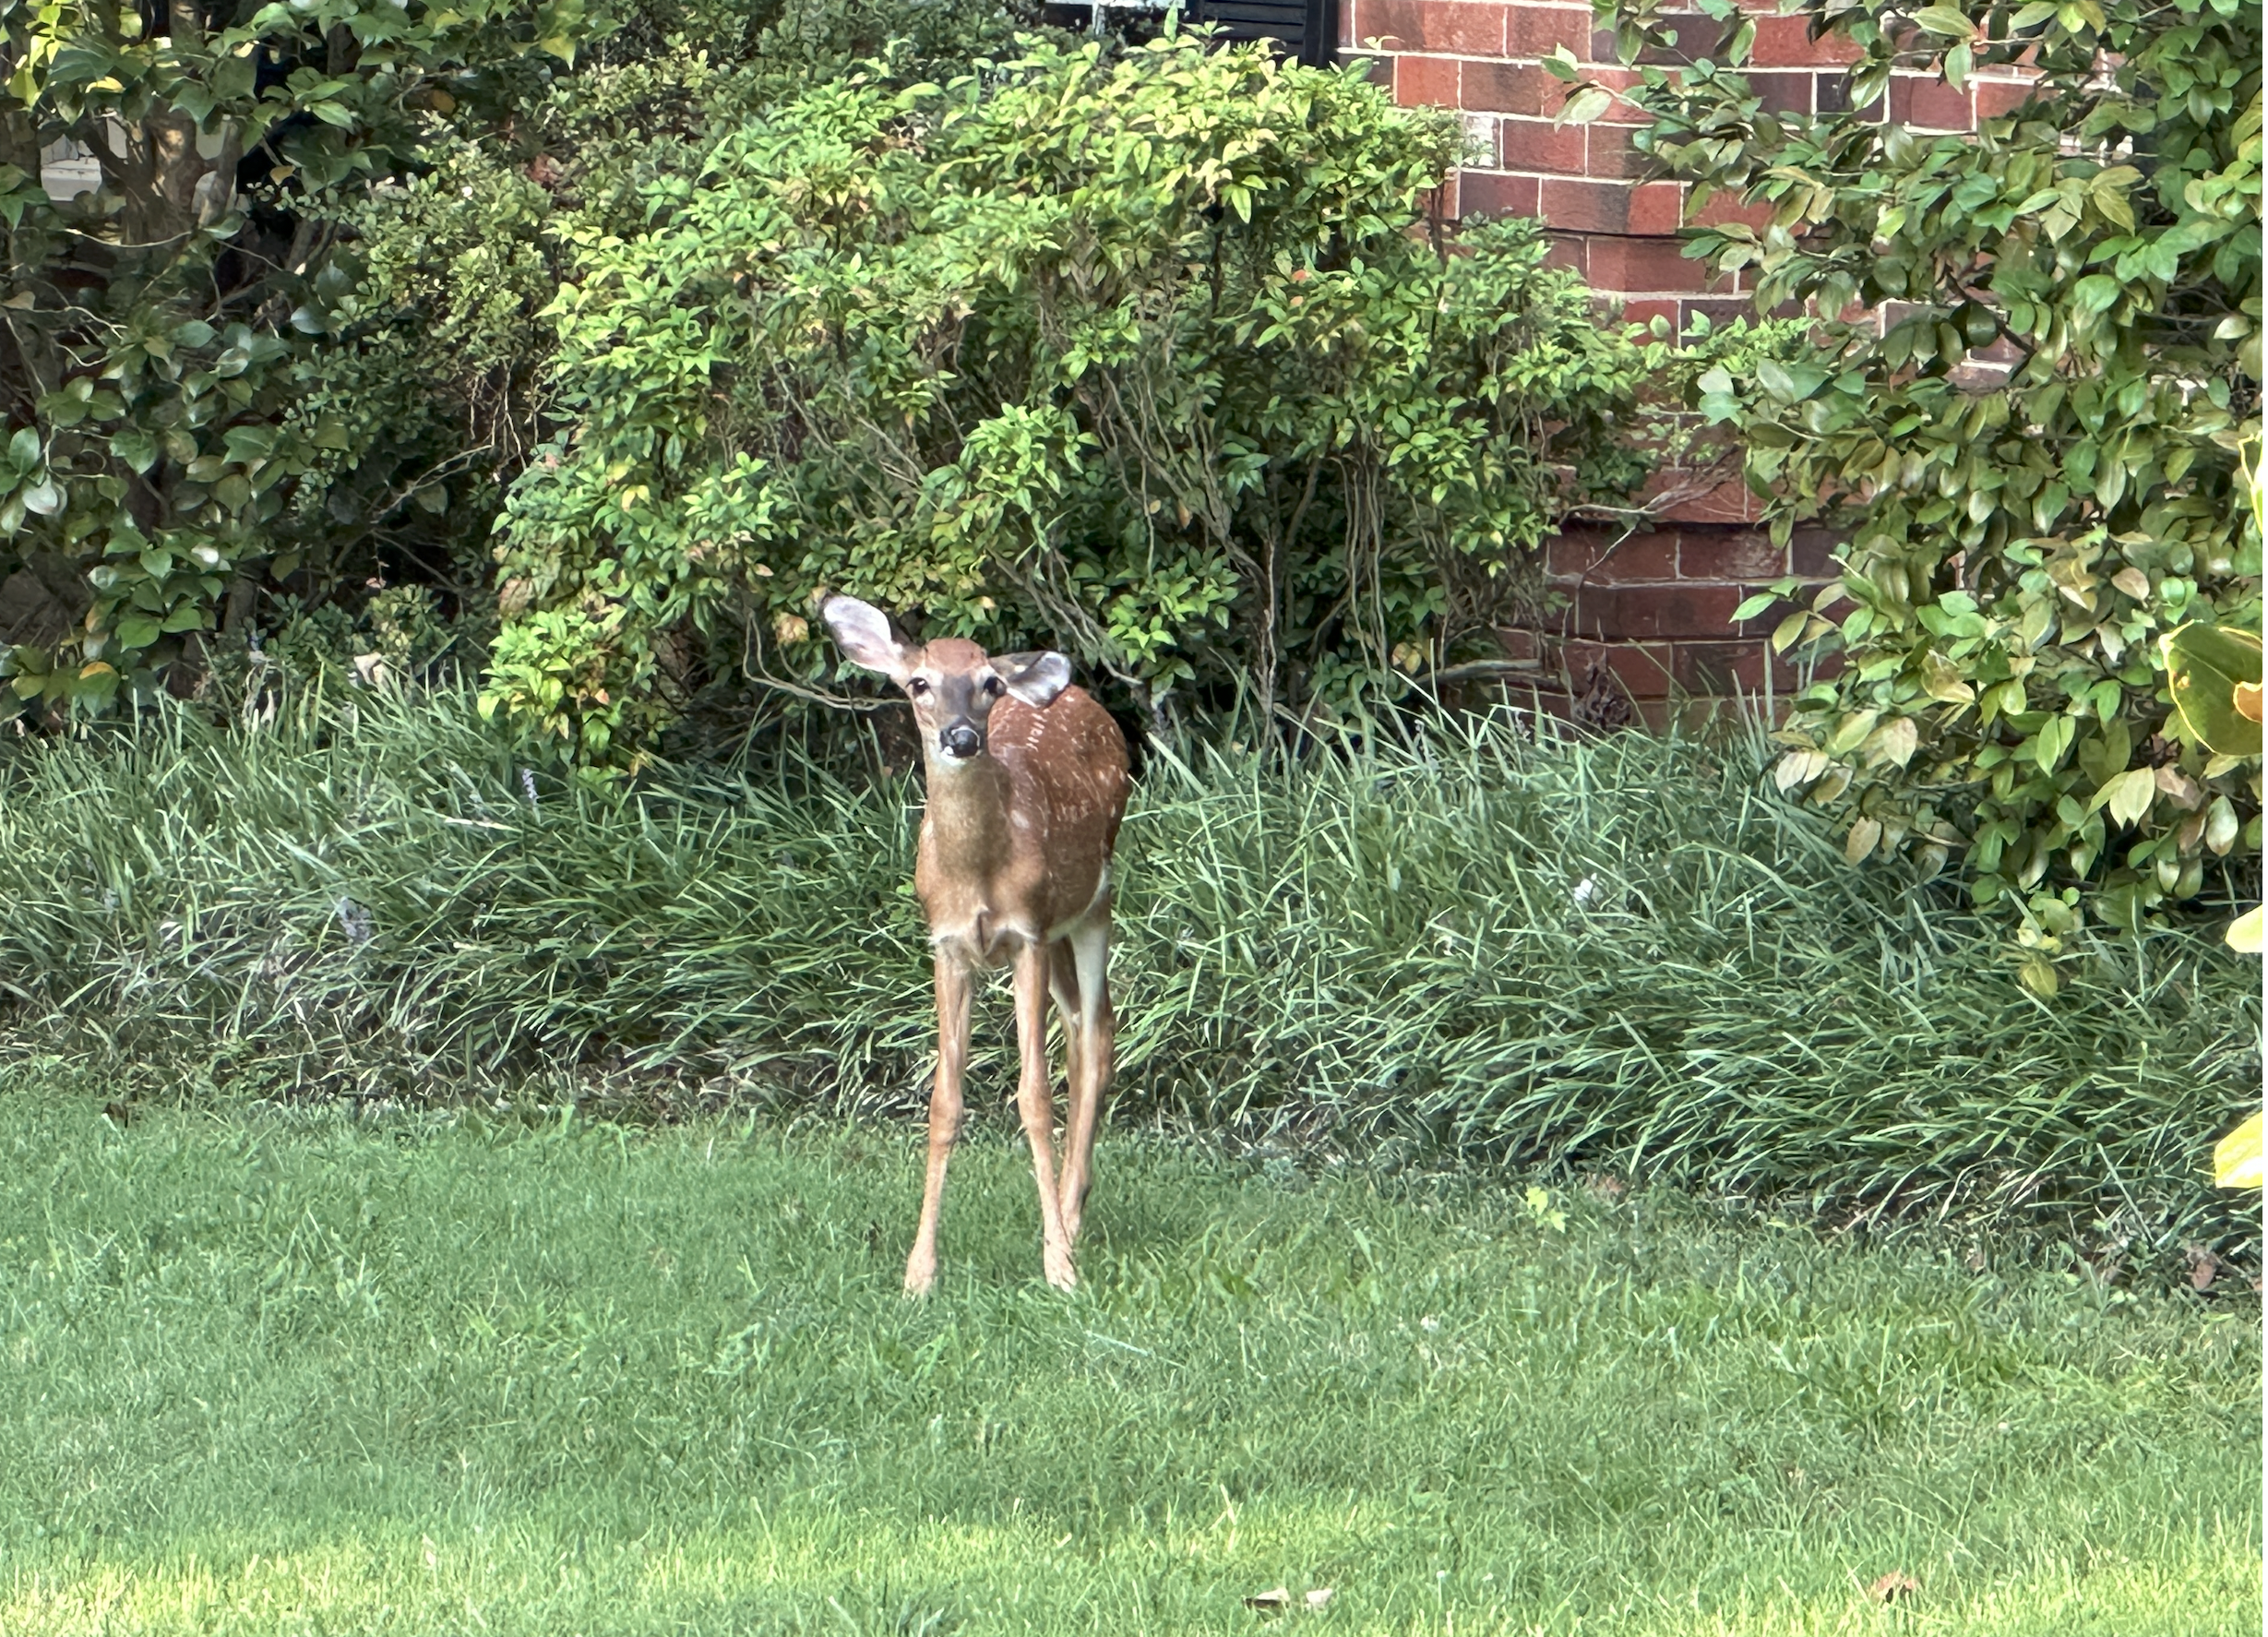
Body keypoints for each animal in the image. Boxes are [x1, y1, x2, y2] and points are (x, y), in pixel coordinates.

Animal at [821, 596, 1131, 1296]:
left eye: (990, 684)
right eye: (918, 683)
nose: (962, 737)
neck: (977, 873)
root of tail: (1082, 697)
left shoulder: (1026, 935)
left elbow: (1034, 1097)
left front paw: (1058, 1267)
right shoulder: (947, 945)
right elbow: (944, 1102)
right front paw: (918, 1274)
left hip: (1093, 901)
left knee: (1099, 1032)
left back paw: (1069, 1219)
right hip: (1060, 933)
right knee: (1080, 1029)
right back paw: (1069, 1208)